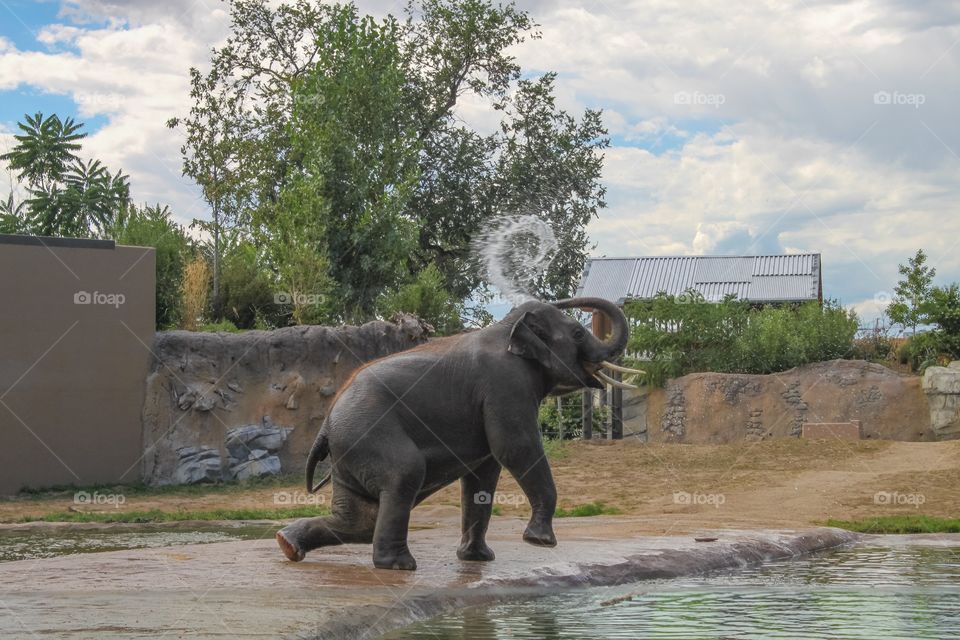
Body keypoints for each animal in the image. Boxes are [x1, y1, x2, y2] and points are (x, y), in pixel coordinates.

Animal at [274, 296, 640, 568]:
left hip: (350, 446)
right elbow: (515, 447)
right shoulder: (506, 383)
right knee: (404, 475)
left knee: (360, 519)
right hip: (368, 433)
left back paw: (288, 544)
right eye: (577, 334)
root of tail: (326, 424)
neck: (508, 327)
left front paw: (478, 559)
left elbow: (486, 471)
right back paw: (400, 566)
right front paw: (540, 542)